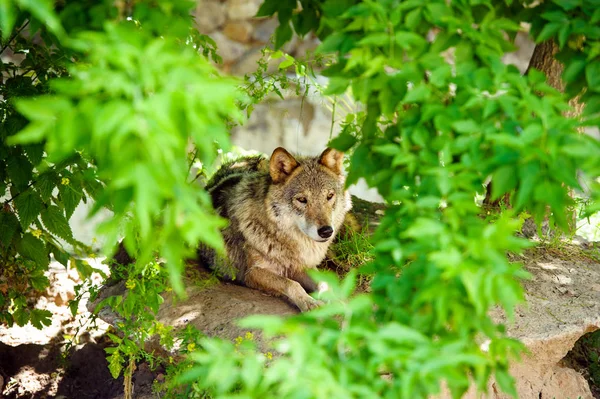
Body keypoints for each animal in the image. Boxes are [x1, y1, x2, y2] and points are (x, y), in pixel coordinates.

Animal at [202, 147, 352, 312]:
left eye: (329, 196)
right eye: (302, 200)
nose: (326, 231)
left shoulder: (301, 266)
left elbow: (324, 282)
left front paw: (337, 300)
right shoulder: (252, 272)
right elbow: (291, 284)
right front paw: (309, 302)